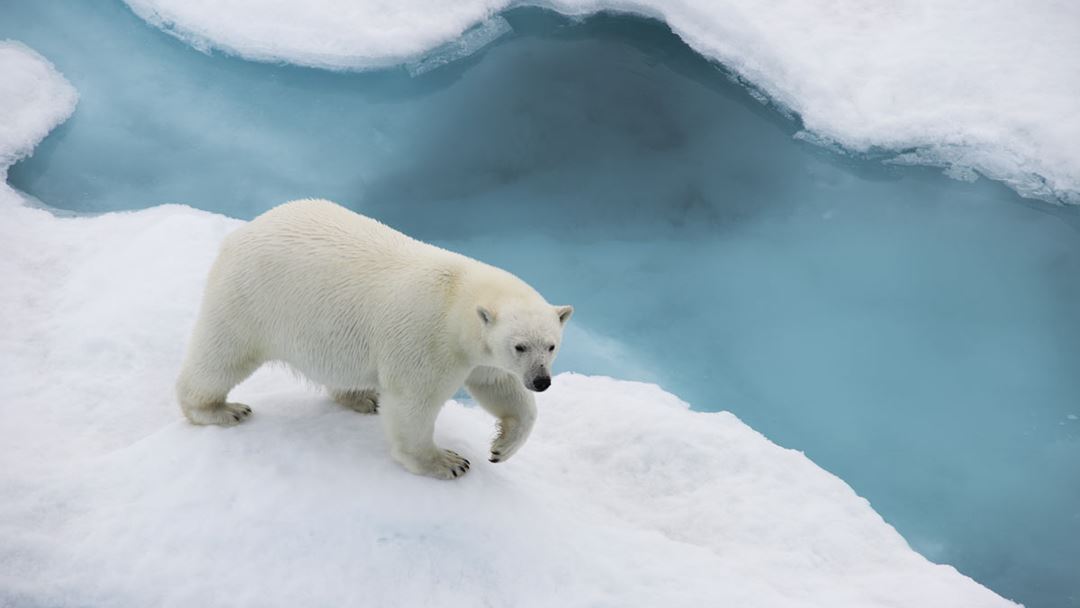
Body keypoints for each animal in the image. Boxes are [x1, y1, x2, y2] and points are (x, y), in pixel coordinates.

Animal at [174, 199, 574, 481]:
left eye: (551, 345)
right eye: (520, 345)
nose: (541, 381)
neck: (457, 294)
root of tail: (239, 233)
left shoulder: (477, 354)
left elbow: (499, 386)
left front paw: (501, 447)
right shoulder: (427, 339)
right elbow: (413, 404)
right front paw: (447, 462)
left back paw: (362, 397)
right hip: (250, 298)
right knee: (223, 354)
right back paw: (220, 409)